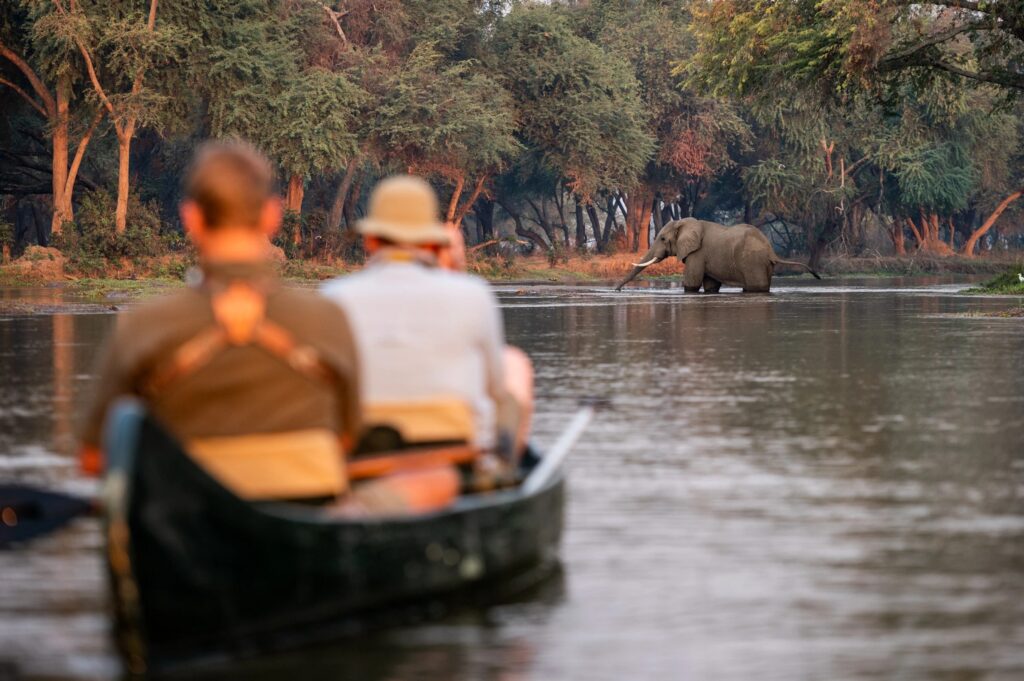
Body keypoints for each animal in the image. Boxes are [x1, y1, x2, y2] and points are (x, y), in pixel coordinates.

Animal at [614, 218, 820, 293]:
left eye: (663, 238)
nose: (617, 290)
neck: (686, 222)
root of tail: (772, 251)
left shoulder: (697, 253)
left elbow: (691, 284)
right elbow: (711, 286)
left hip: (753, 262)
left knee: (755, 287)